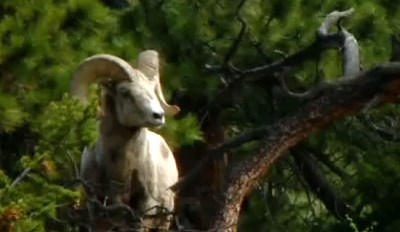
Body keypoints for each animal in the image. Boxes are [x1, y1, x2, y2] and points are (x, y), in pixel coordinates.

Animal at [70, 50, 180, 230]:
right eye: (125, 92)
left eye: (153, 90)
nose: (158, 116)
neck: (120, 173)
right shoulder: (96, 209)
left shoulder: (144, 208)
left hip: (164, 218)